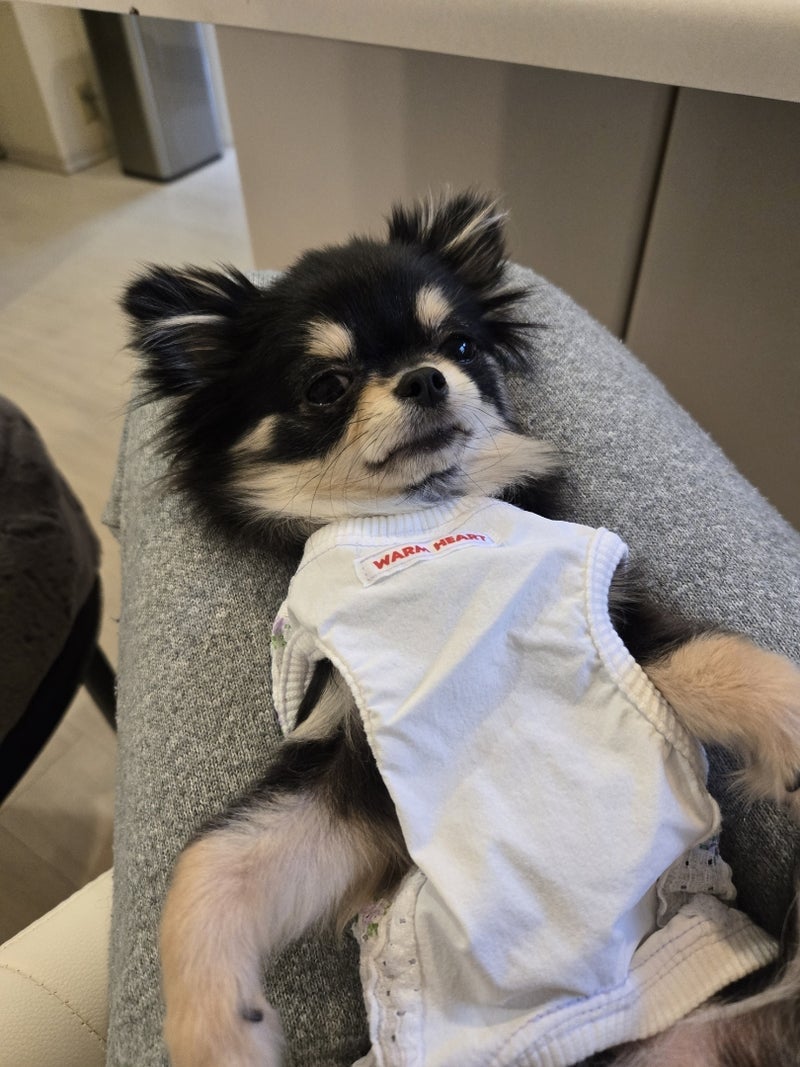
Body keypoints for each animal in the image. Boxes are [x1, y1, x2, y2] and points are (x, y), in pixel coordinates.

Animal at [124, 191, 800, 1067]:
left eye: (461, 344)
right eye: (326, 387)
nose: (424, 376)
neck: (423, 523)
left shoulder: (613, 622)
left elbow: (731, 662)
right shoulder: (358, 770)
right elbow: (207, 865)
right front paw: (220, 1034)